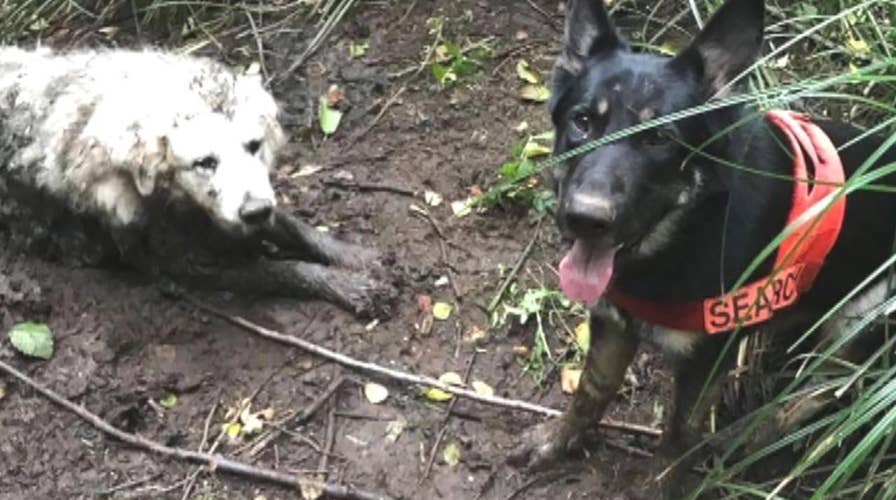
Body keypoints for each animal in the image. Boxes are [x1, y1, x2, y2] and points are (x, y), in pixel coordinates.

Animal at [512, 0, 896, 496]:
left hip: (860, 317)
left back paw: (755, 432)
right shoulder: (613, 323)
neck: (683, 233)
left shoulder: (703, 364)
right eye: (582, 122)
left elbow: (676, 440)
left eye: (659, 138)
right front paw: (557, 439)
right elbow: (591, 391)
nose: (585, 219)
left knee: (833, 386)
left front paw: (658, 487)